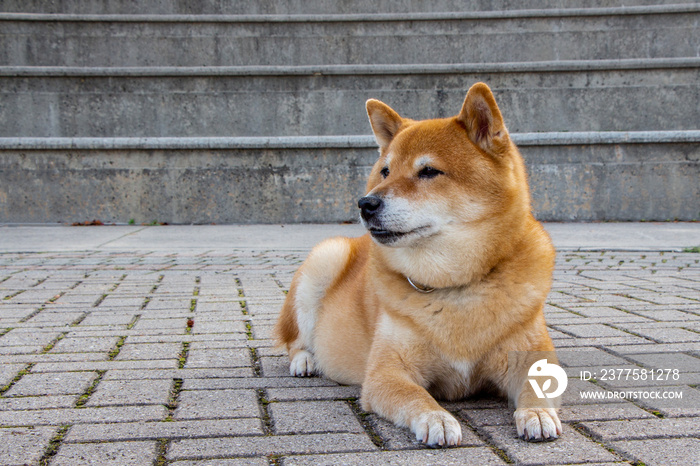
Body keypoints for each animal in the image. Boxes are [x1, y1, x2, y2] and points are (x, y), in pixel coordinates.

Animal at [274, 82, 564, 446]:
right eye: (385, 171)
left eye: (428, 171)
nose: (365, 203)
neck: (454, 286)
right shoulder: (387, 371)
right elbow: (415, 396)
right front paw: (435, 417)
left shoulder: (530, 355)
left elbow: (537, 385)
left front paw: (536, 412)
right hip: (325, 259)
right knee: (293, 340)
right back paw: (305, 360)